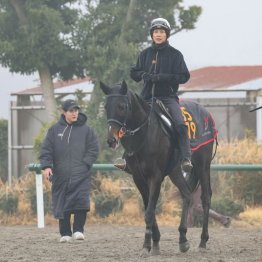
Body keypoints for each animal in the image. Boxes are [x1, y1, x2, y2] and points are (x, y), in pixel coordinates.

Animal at [99, 80, 216, 256]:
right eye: (106, 106)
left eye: (122, 106)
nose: (111, 140)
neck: (145, 134)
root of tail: (206, 113)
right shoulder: (138, 178)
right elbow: (149, 208)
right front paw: (155, 242)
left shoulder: (155, 176)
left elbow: (149, 211)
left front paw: (147, 245)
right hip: (175, 171)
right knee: (187, 195)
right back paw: (183, 239)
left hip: (203, 166)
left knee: (205, 197)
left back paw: (202, 241)